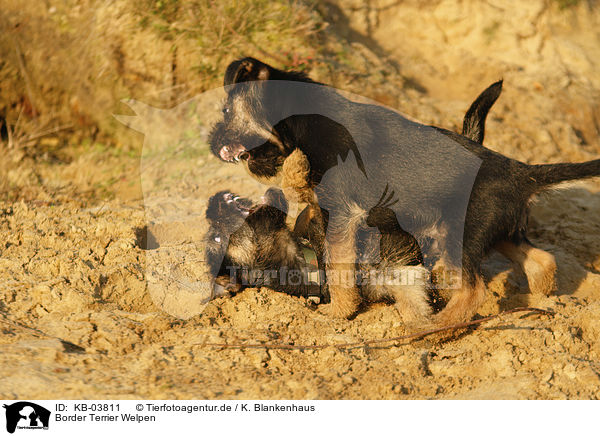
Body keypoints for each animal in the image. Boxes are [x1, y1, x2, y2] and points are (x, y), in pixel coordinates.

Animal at [207, 58, 600, 328]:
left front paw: (337, 312)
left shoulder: (341, 215)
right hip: (492, 230)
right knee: (541, 260)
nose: (211, 142)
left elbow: (338, 267)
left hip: (462, 233)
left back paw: (435, 328)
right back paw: (545, 302)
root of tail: (521, 172)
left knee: (474, 290)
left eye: (226, 110)